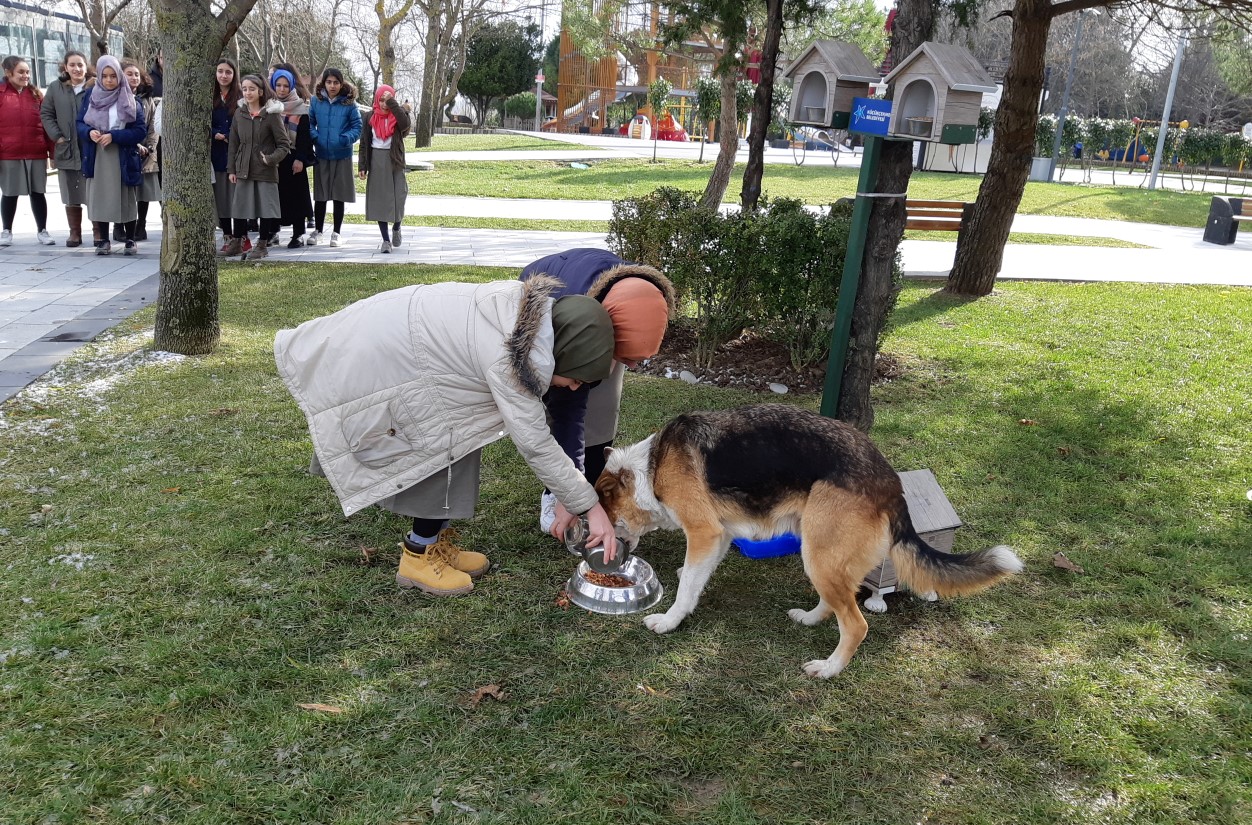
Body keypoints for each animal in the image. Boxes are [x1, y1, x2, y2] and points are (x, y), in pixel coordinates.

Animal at [598, 403, 1026, 681]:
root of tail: (891, 484)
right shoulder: (719, 536)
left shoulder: (705, 532)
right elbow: (694, 578)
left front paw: (669, 621)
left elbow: (687, 583)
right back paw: (809, 618)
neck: (652, 467)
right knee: (837, 601)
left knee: (855, 624)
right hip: (818, 550)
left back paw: (829, 668)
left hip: (819, 554)